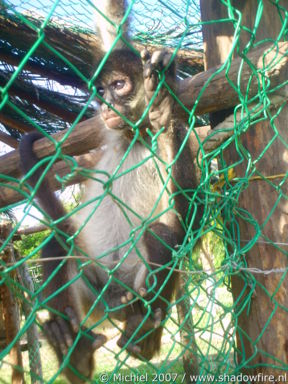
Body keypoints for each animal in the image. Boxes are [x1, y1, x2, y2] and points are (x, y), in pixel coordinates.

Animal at [19, 1, 201, 382]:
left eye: (120, 85)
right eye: (101, 91)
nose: (105, 106)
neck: (135, 137)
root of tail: (114, 301)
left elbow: (190, 216)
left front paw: (165, 103)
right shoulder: (107, 133)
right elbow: (111, 23)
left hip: (134, 291)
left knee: (162, 234)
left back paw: (143, 332)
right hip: (90, 291)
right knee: (56, 242)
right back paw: (73, 352)